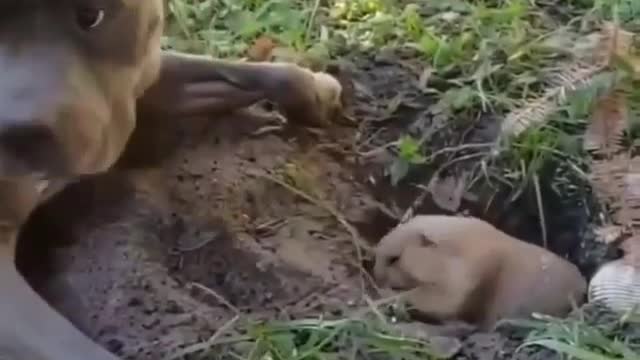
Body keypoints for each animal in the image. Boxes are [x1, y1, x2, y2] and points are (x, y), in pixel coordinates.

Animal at [0, 1, 344, 358]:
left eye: (90, 15)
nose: (15, 133)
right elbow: (79, 350)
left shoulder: (147, 76)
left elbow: (238, 72)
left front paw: (318, 91)